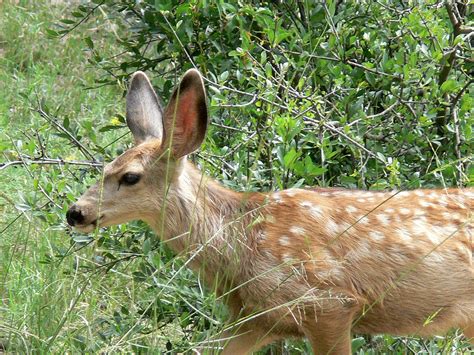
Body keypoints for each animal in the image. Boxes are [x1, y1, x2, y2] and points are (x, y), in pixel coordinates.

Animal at [67, 68, 474, 354]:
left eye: (130, 177)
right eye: (105, 167)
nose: (76, 212)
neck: (241, 244)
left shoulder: (327, 302)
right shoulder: (255, 319)